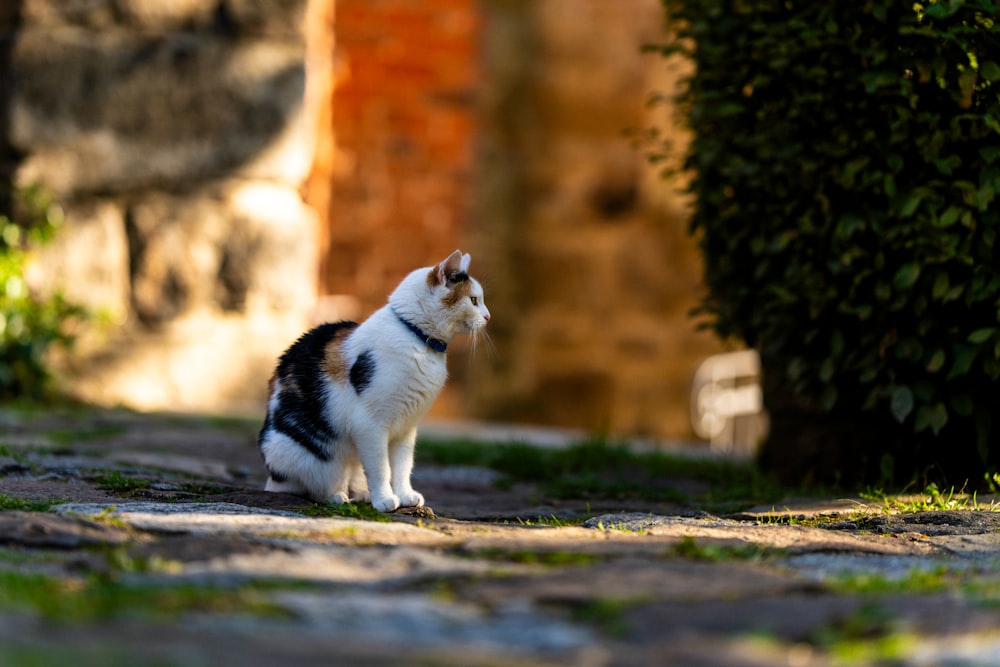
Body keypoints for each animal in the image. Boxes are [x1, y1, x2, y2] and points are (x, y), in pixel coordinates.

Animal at [260, 250, 490, 512]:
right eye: (474, 300)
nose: (488, 316)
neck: (417, 339)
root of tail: (272, 478)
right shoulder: (369, 424)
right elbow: (381, 468)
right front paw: (385, 499)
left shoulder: (406, 427)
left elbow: (402, 466)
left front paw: (405, 495)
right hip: (309, 455)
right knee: (313, 486)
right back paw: (338, 496)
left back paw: (362, 495)